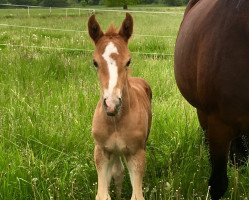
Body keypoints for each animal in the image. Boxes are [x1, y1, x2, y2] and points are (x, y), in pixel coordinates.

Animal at [88, 12, 153, 200]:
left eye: (128, 61)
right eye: (95, 62)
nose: (112, 105)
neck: (116, 121)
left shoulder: (136, 153)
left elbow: (137, 196)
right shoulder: (101, 151)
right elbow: (103, 194)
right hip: (114, 152)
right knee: (118, 172)